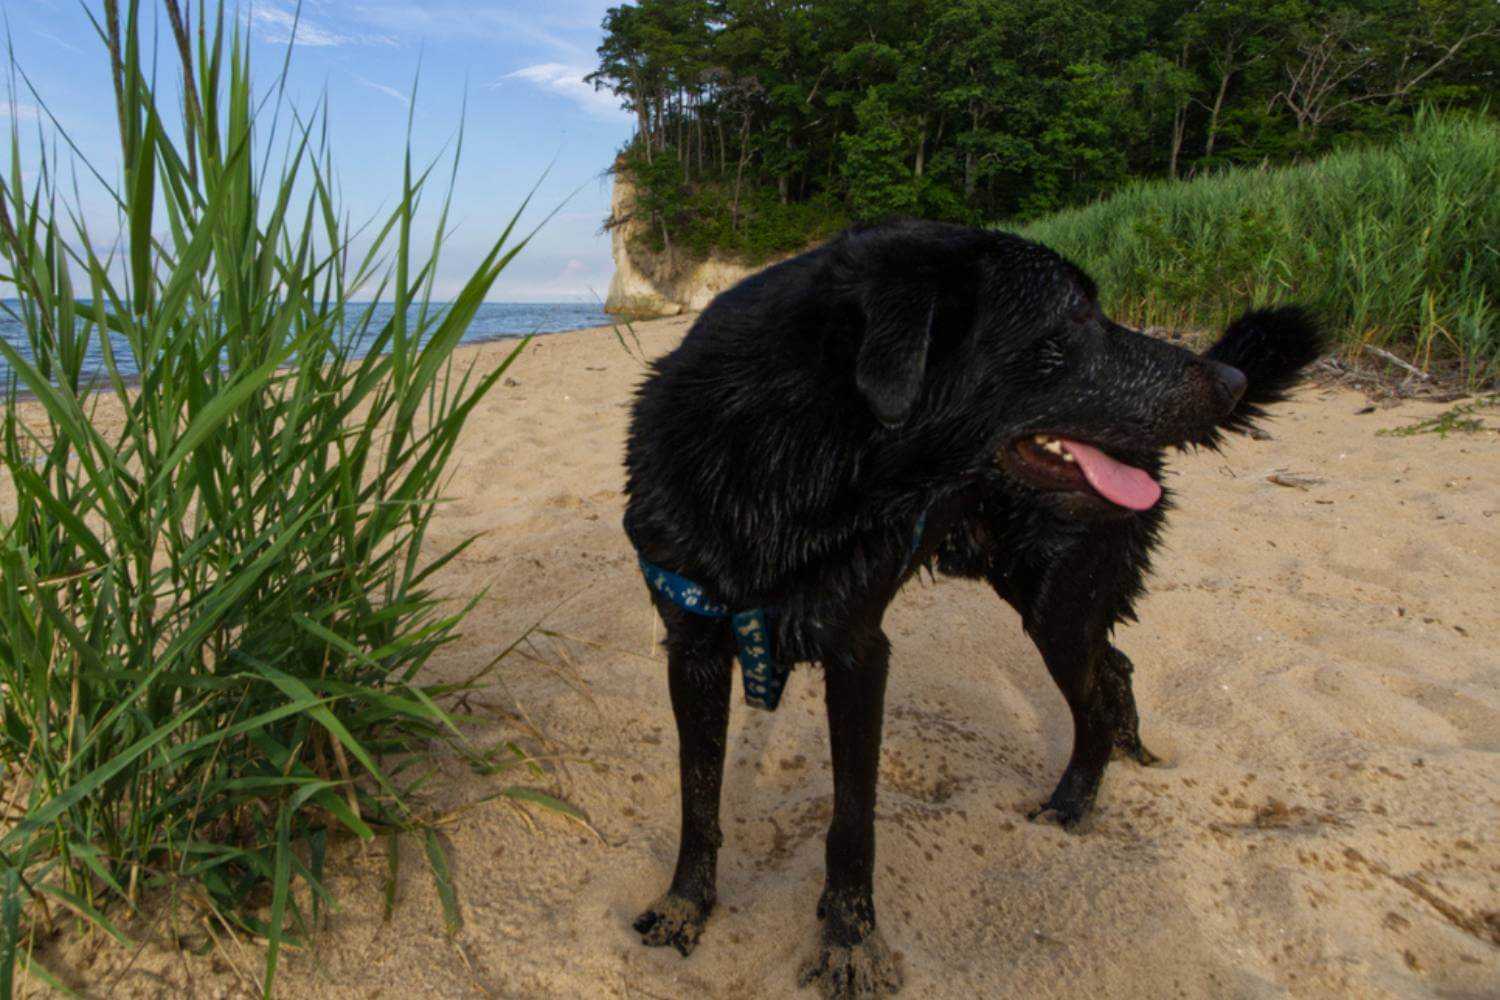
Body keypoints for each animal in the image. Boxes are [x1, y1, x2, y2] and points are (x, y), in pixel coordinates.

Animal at [615, 220, 1320, 1000]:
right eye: (1077, 314)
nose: (1232, 383)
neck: (777, 467)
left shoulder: (859, 651)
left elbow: (850, 824)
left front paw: (851, 942)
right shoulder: (694, 647)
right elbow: (698, 797)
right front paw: (685, 908)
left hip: (1057, 603)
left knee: (1093, 697)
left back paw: (1072, 803)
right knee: (1116, 666)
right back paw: (1131, 749)